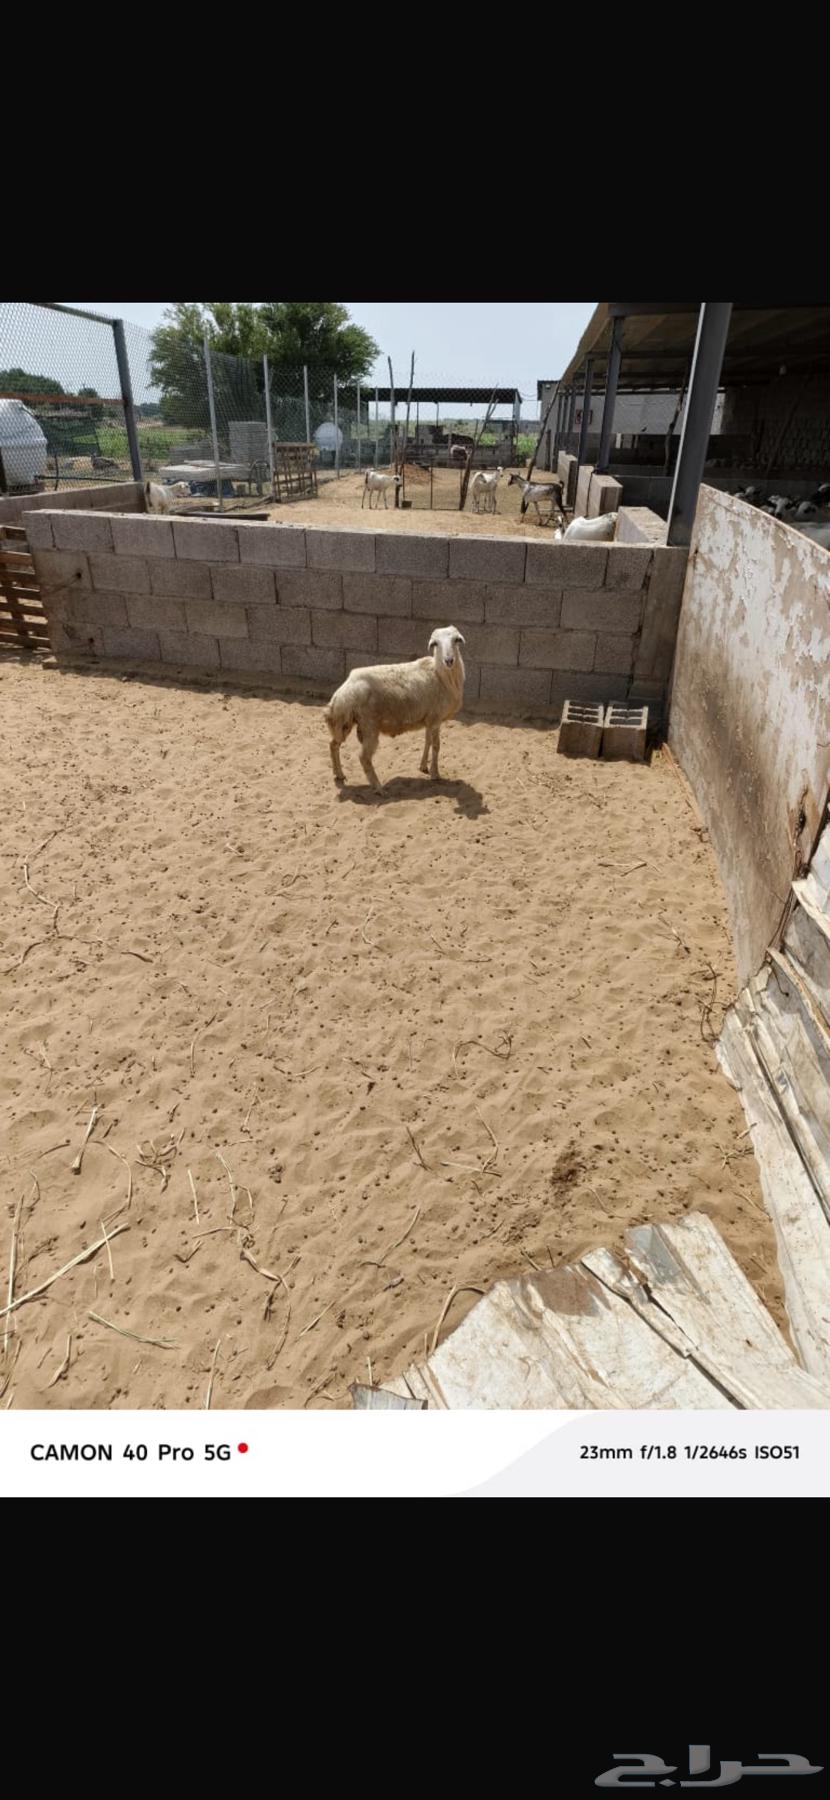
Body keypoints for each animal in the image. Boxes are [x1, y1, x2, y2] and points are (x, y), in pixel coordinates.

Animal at [323, 625, 465, 794]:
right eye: (435, 643)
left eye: (456, 640)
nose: (449, 660)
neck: (441, 675)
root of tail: (343, 691)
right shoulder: (435, 718)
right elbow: (436, 746)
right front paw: (435, 774)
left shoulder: (428, 719)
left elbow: (428, 741)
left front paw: (423, 766)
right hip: (369, 724)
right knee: (364, 758)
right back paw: (378, 788)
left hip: (343, 722)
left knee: (333, 744)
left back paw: (339, 774)